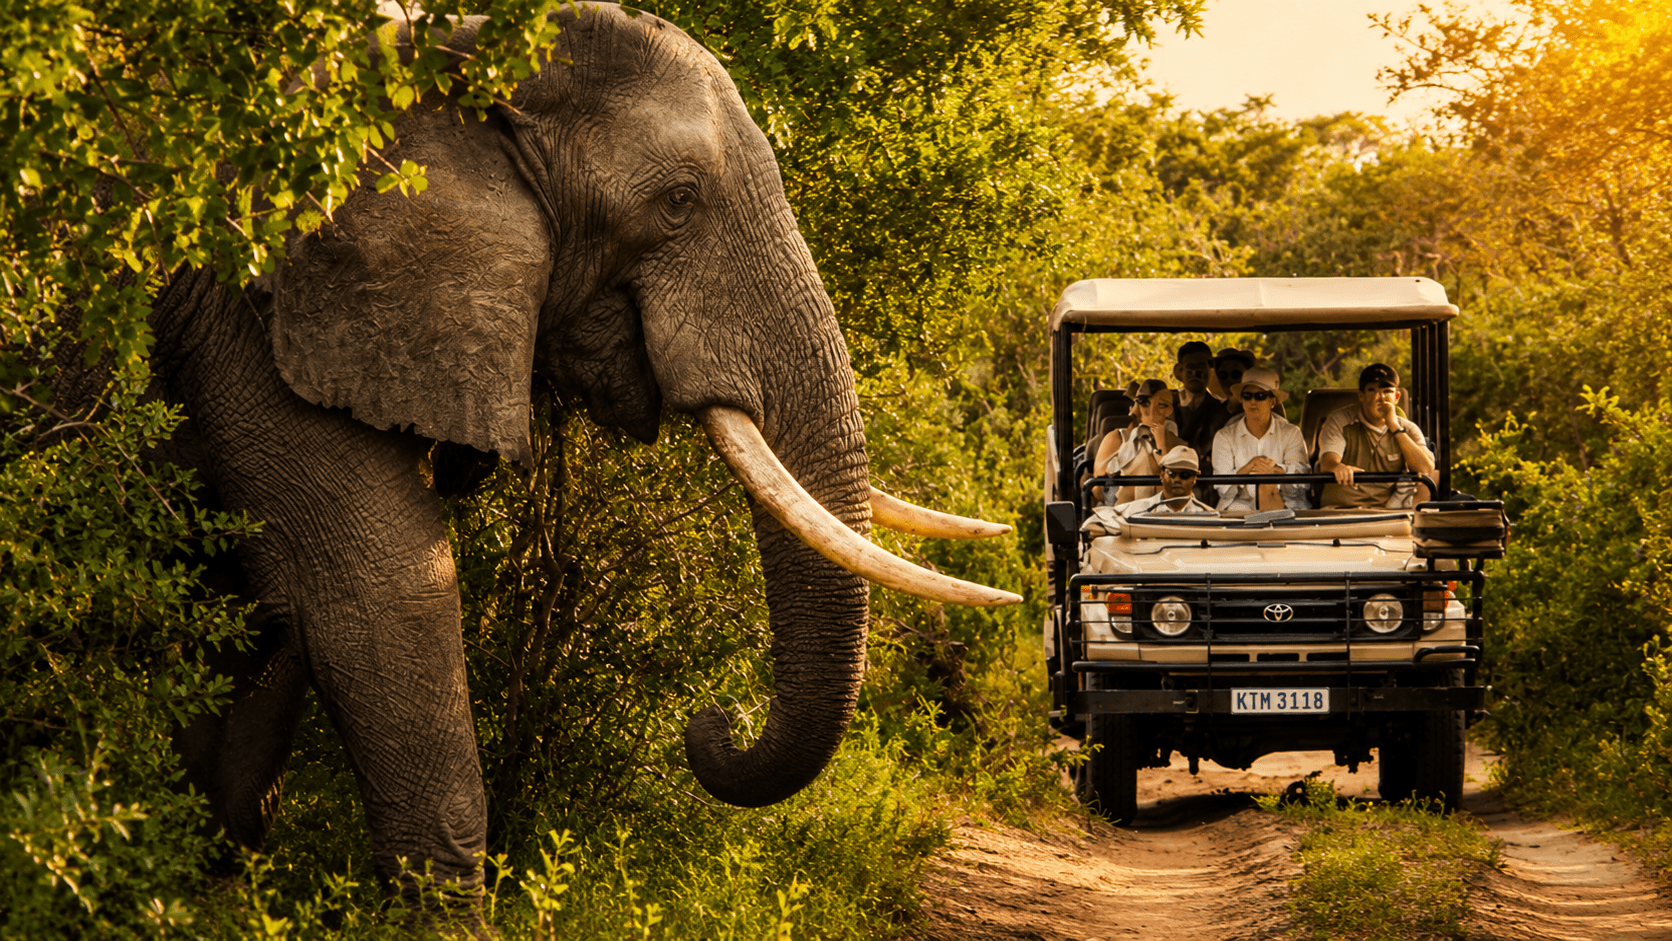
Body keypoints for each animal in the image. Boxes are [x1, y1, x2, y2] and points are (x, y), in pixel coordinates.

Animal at [136, 0, 1019, 911]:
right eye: (677, 202)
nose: (712, 722)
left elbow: (265, 621)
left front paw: (204, 892)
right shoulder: (254, 301)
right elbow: (377, 594)